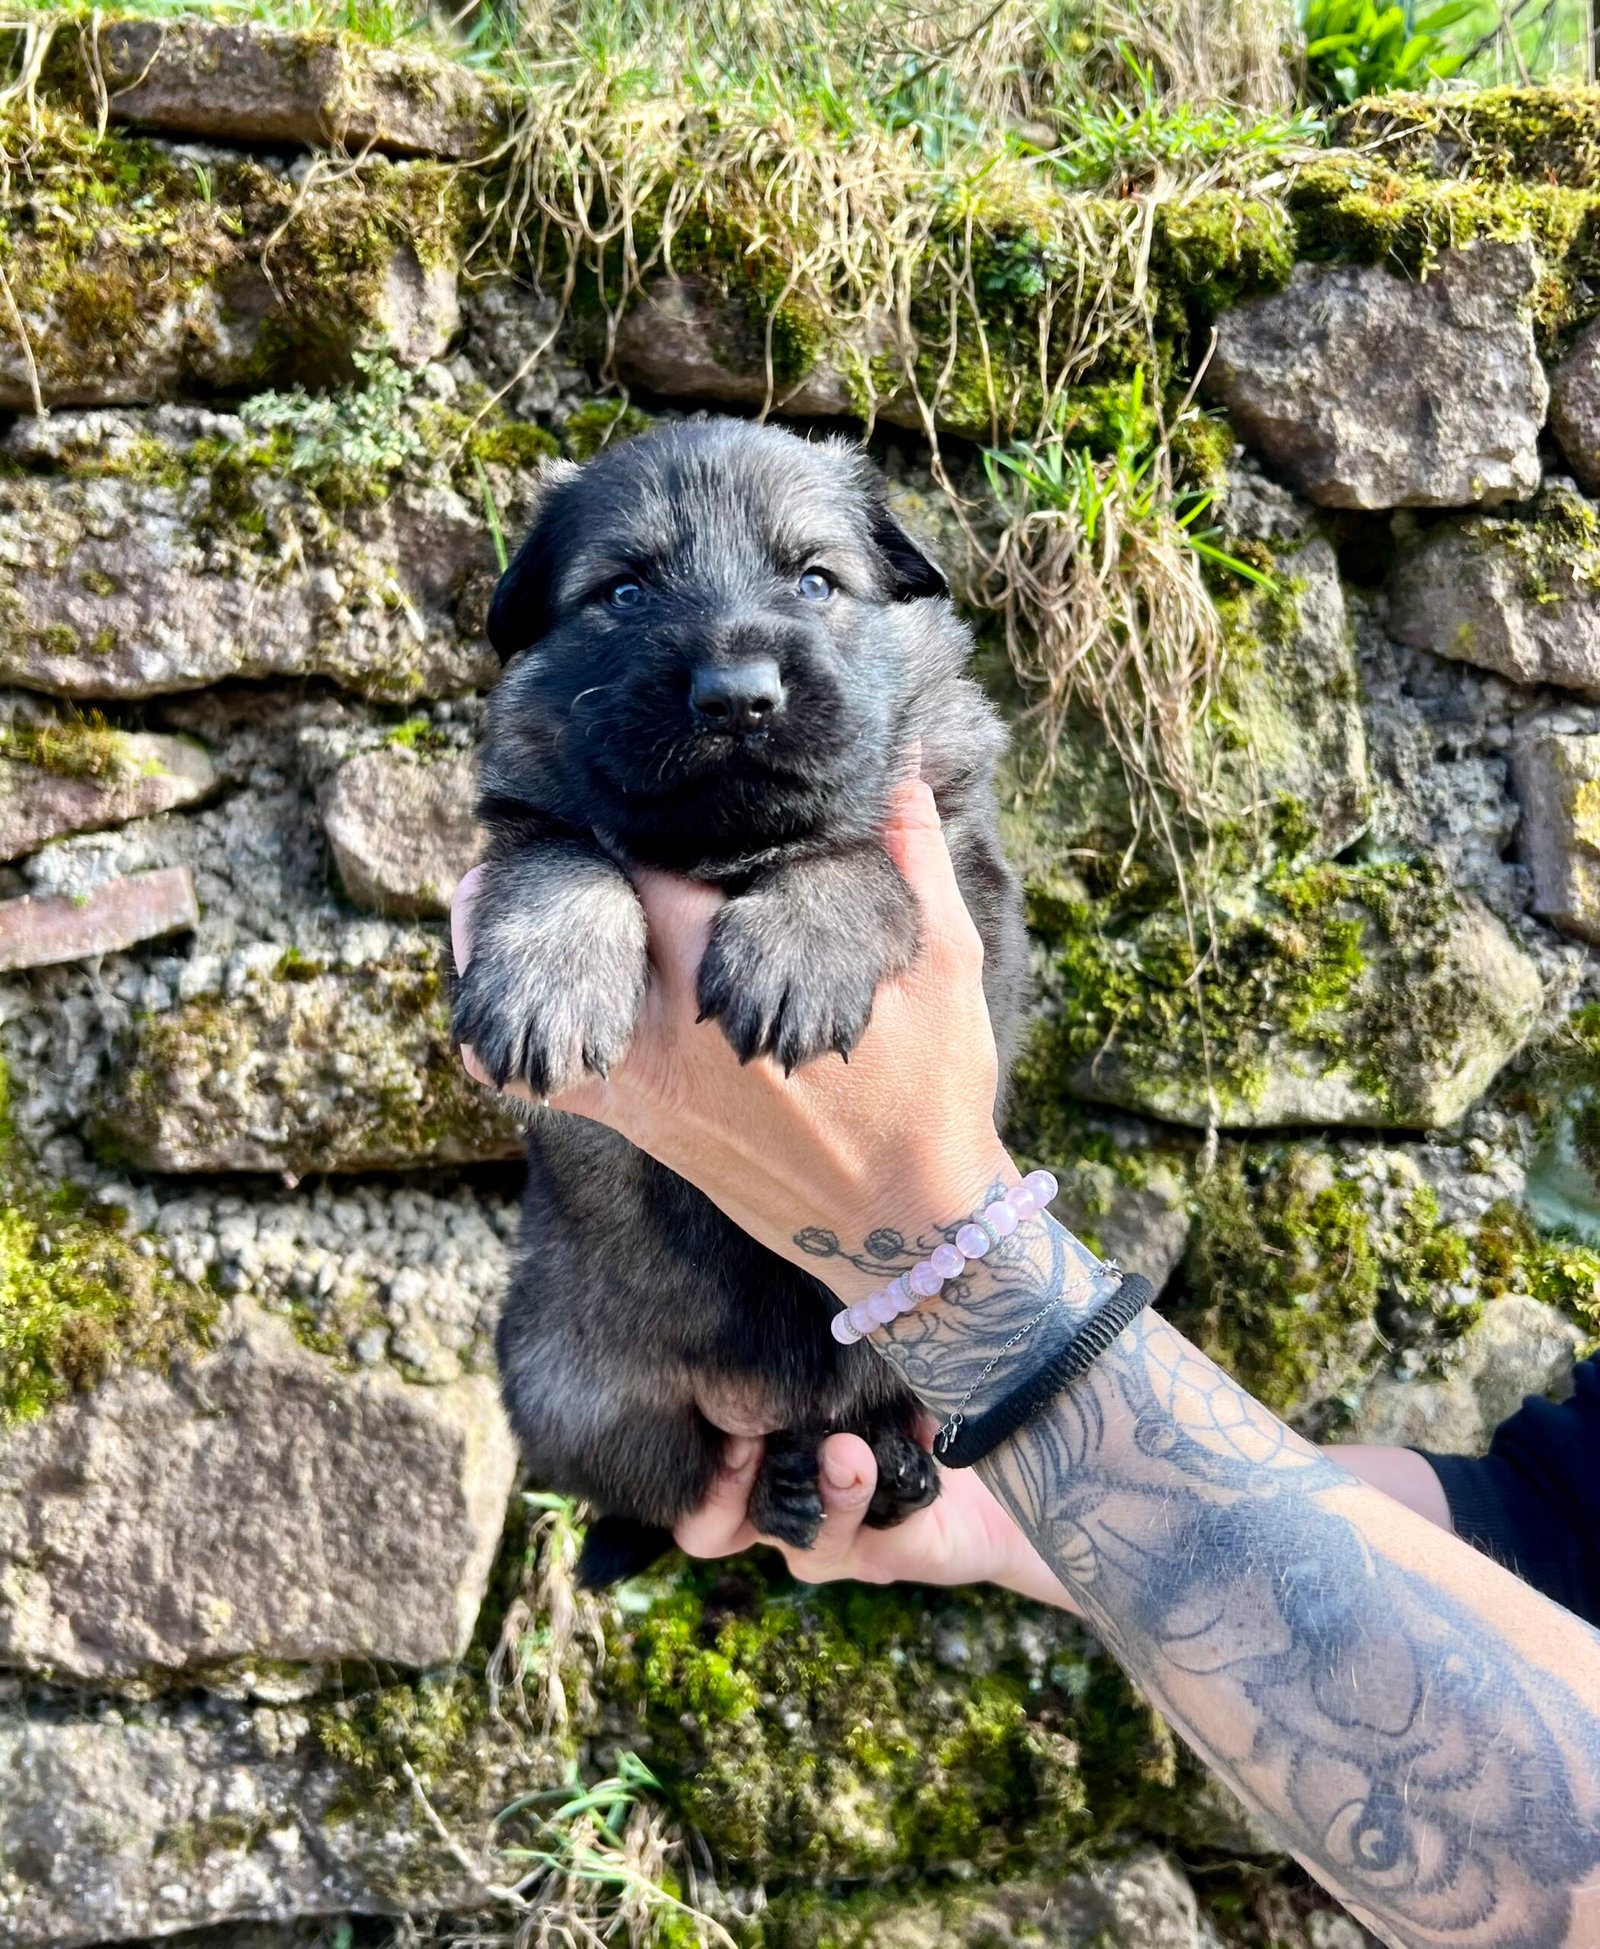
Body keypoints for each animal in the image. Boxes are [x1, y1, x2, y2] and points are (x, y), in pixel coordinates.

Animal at [454, 417, 1029, 1584]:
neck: (726, 850)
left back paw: (884, 1474)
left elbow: (861, 852)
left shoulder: (966, 884)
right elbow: (562, 854)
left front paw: (800, 946)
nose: (736, 694)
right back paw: (782, 1488)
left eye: (812, 579)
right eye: (625, 591)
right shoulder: (526, 809)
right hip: (565, 1379)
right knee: (666, 1487)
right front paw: (547, 981)